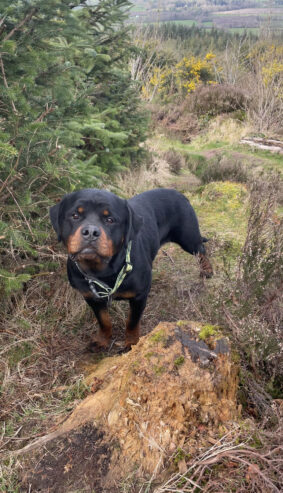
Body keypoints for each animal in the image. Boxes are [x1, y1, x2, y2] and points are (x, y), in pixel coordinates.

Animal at [50, 186, 213, 348]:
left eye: (110, 220)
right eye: (75, 215)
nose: (91, 231)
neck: (103, 271)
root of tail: (179, 193)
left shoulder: (139, 296)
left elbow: (132, 322)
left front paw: (131, 343)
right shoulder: (91, 297)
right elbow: (103, 321)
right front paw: (102, 340)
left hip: (188, 238)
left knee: (201, 249)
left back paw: (207, 270)